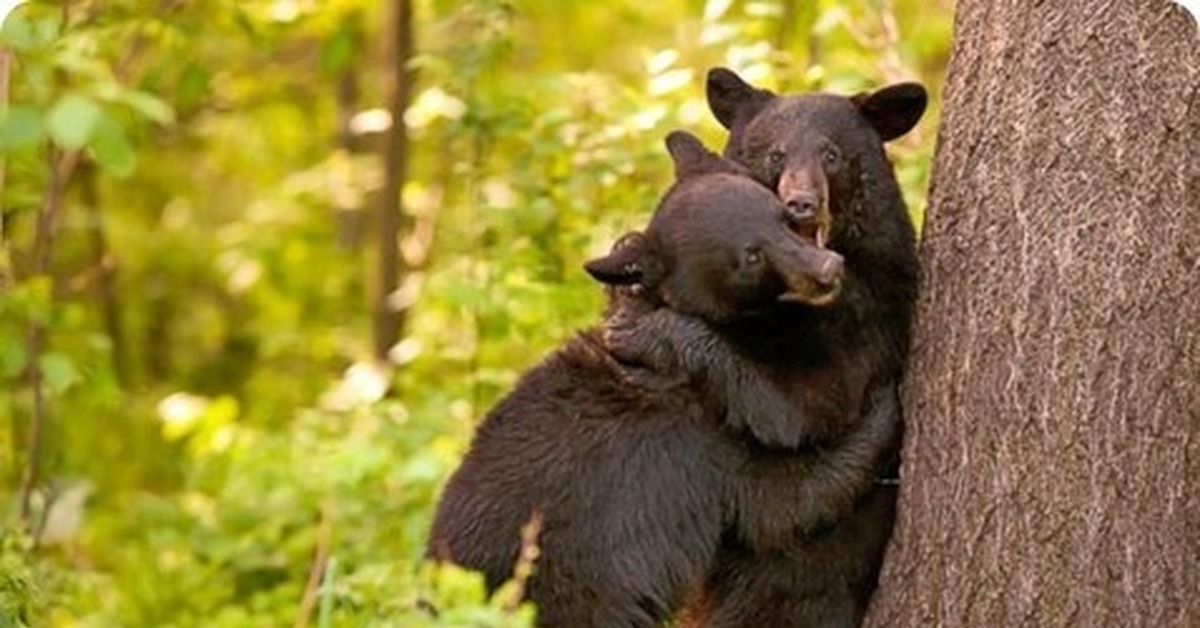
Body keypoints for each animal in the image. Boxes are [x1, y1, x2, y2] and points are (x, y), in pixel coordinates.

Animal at [424, 130, 902, 624]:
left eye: (784, 218)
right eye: (750, 256)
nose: (827, 269)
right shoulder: (706, 441)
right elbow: (791, 471)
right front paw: (884, 409)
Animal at [614, 68, 921, 628]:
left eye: (831, 155)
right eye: (776, 154)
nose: (801, 203)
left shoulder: (869, 326)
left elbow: (797, 407)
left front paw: (640, 328)